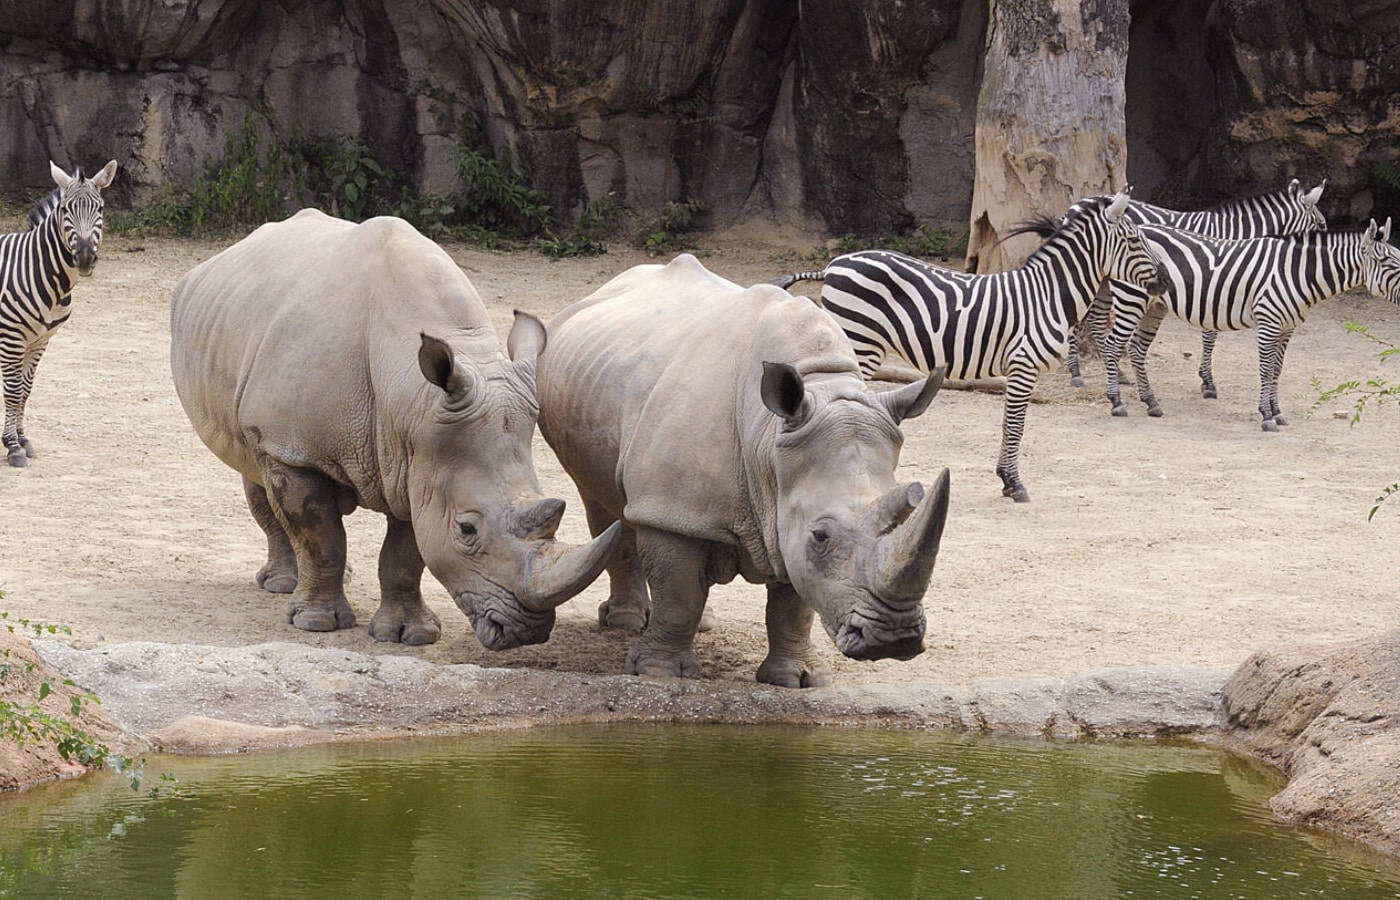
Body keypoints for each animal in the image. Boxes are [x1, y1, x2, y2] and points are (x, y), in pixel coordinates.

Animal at [1, 160, 119, 467]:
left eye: (100, 209)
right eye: (66, 210)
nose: (85, 257)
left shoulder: (40, 340)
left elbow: (25, 390)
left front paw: (23, 440)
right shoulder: (12, 337)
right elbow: (13, 390)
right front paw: (13, 447)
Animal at [778, 190, 1170, 503]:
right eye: (1135, 241)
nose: (1165, 282)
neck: (1048, 295)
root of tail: (833, 266)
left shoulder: (1018, 370)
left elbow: (1010, 423)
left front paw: (1006, 480)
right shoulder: (1024, 364)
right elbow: (1016, 426)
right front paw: (1015, 484)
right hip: (857, 343)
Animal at [1064, 179, 1327, 397]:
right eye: (1321, 224)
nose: (1324, 232)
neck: (1236, 234)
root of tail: (1076, 205)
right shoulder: (1213, 283)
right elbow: (1210, 335)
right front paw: (1208, 382)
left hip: (1105, 276)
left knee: (1096, 320)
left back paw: (1116, 372)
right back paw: (1076, 372)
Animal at [1097, 218, 1400, 428]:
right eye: (1389, 263)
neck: (1298, 273)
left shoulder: (1287, 327)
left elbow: (1276, 370)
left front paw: (1277, 412)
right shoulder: (1269, 322)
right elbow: (1265, 370)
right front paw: (1266, 416)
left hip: (1154, 305)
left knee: (1137, 349)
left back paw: (1151, 402)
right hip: (1131, 298)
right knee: (1113, 345)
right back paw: (1117, 402)